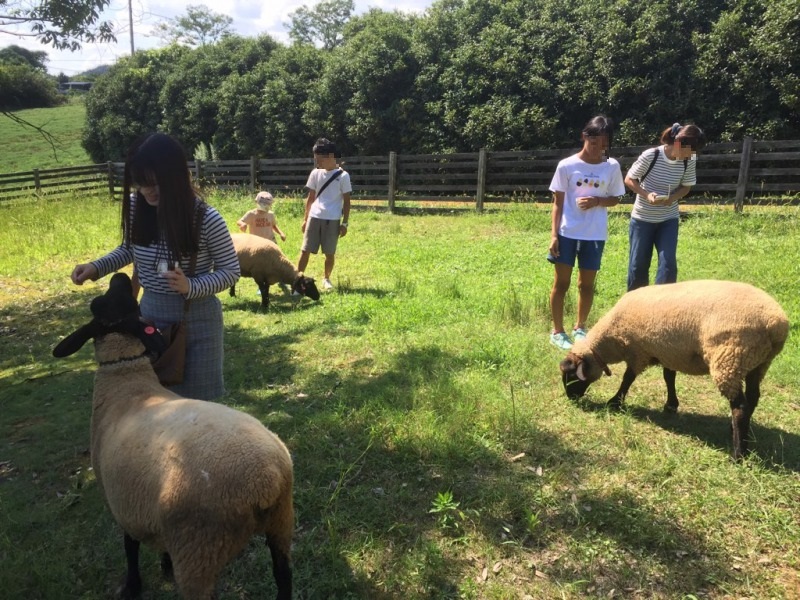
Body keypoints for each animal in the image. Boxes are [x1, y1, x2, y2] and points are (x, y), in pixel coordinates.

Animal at [54, 274, 296, 600]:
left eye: (97, 307)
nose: (120, 276)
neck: (128, 382)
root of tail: (266, 481)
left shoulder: (121, 502)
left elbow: (130, 547)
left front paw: (132, 585)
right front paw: (163, 565)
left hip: (198, 547)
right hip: (281, 523)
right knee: (283, 577)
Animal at [560, 280, 792, 460]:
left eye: (571, 375)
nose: (571, 398)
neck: (612, 338)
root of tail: (776, 324)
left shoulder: (638, 352)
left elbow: (628, 378)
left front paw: (615, 401)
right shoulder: (667, 353)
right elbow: (668, 377)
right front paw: (671, 405)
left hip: (730, 359)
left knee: (740, 407)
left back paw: (738, 454)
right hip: (757, 363)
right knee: (752, 398)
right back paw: (736, 431)